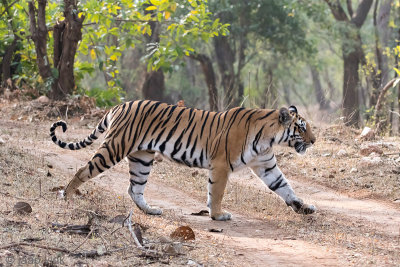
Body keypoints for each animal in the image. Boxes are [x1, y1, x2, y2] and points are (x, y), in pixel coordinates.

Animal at [50, 100, 318, 222]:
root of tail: (121, 104)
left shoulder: (266, 165)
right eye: (302, 128)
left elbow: (285, 187)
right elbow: (216, 192)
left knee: (134, 188)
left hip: (142, 158)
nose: (314, 141)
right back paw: (67, 195)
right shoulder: (221, 165)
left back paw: (151, 210)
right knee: (83, 170)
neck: (268, 137)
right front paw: (218, 215)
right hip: (115, 147)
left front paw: (304, 207)